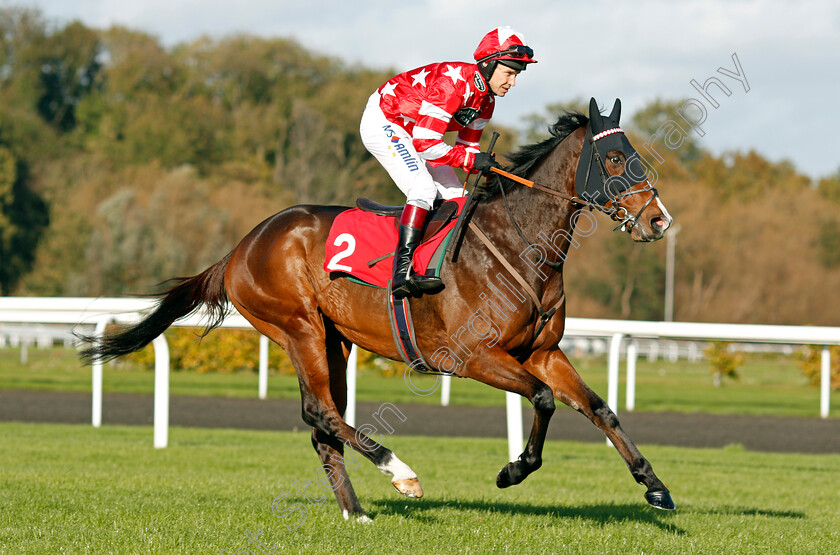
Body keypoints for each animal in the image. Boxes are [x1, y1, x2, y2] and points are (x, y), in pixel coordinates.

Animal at [82, 96, 676, 520]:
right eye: (615, 158)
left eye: (636, 154)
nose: (658, 220)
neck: (519, 245)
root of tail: (242, 245)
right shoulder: (473, 356)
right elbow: (545, 400)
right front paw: (513, 471)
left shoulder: (543, 352)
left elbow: (598, 407)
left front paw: (655, 487)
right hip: (297, 326)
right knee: (321, 413)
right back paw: (399, 471)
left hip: (333, 340)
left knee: (323, 424)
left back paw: (356, 512)